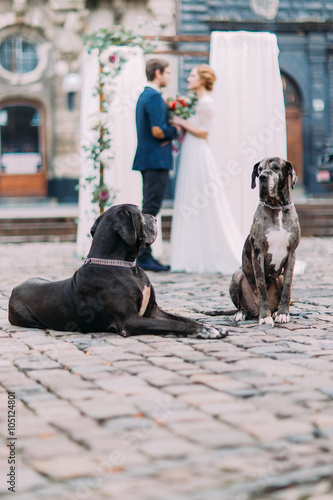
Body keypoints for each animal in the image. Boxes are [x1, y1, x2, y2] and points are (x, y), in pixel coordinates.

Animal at [8, 204, 226, 340]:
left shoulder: (153, 311)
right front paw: (205, 331)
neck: (127, 266)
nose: (156, 218)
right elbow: (176, 325)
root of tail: (15, 288)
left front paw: (211, 326)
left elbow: (182, 318)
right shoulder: (129, 320)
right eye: (140, 213)